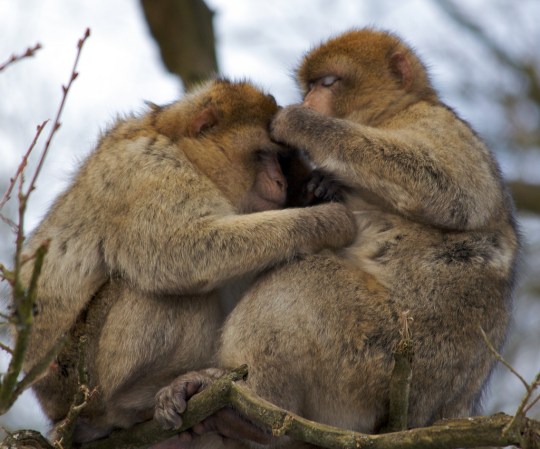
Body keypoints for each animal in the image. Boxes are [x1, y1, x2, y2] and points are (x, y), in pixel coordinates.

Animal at [20, 79, 358, 442]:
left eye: (280, 160)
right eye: (263, 154)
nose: (280, 181)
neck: (179, 145)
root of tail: (58, 411)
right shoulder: (148, 169)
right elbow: (179, 250)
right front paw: (326, 221)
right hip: (87, 376)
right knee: (166, 288)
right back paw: (139, 400)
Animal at [155, 29, 520, 446]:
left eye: (327, 83)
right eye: (310, 85)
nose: (308, 101)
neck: (391, 113)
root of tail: (437, 413)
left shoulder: (437, 123)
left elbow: (453, 191)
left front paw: (299, 122)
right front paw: (320, 185)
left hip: (386, 354)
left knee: (302, 283)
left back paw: (249, 405)